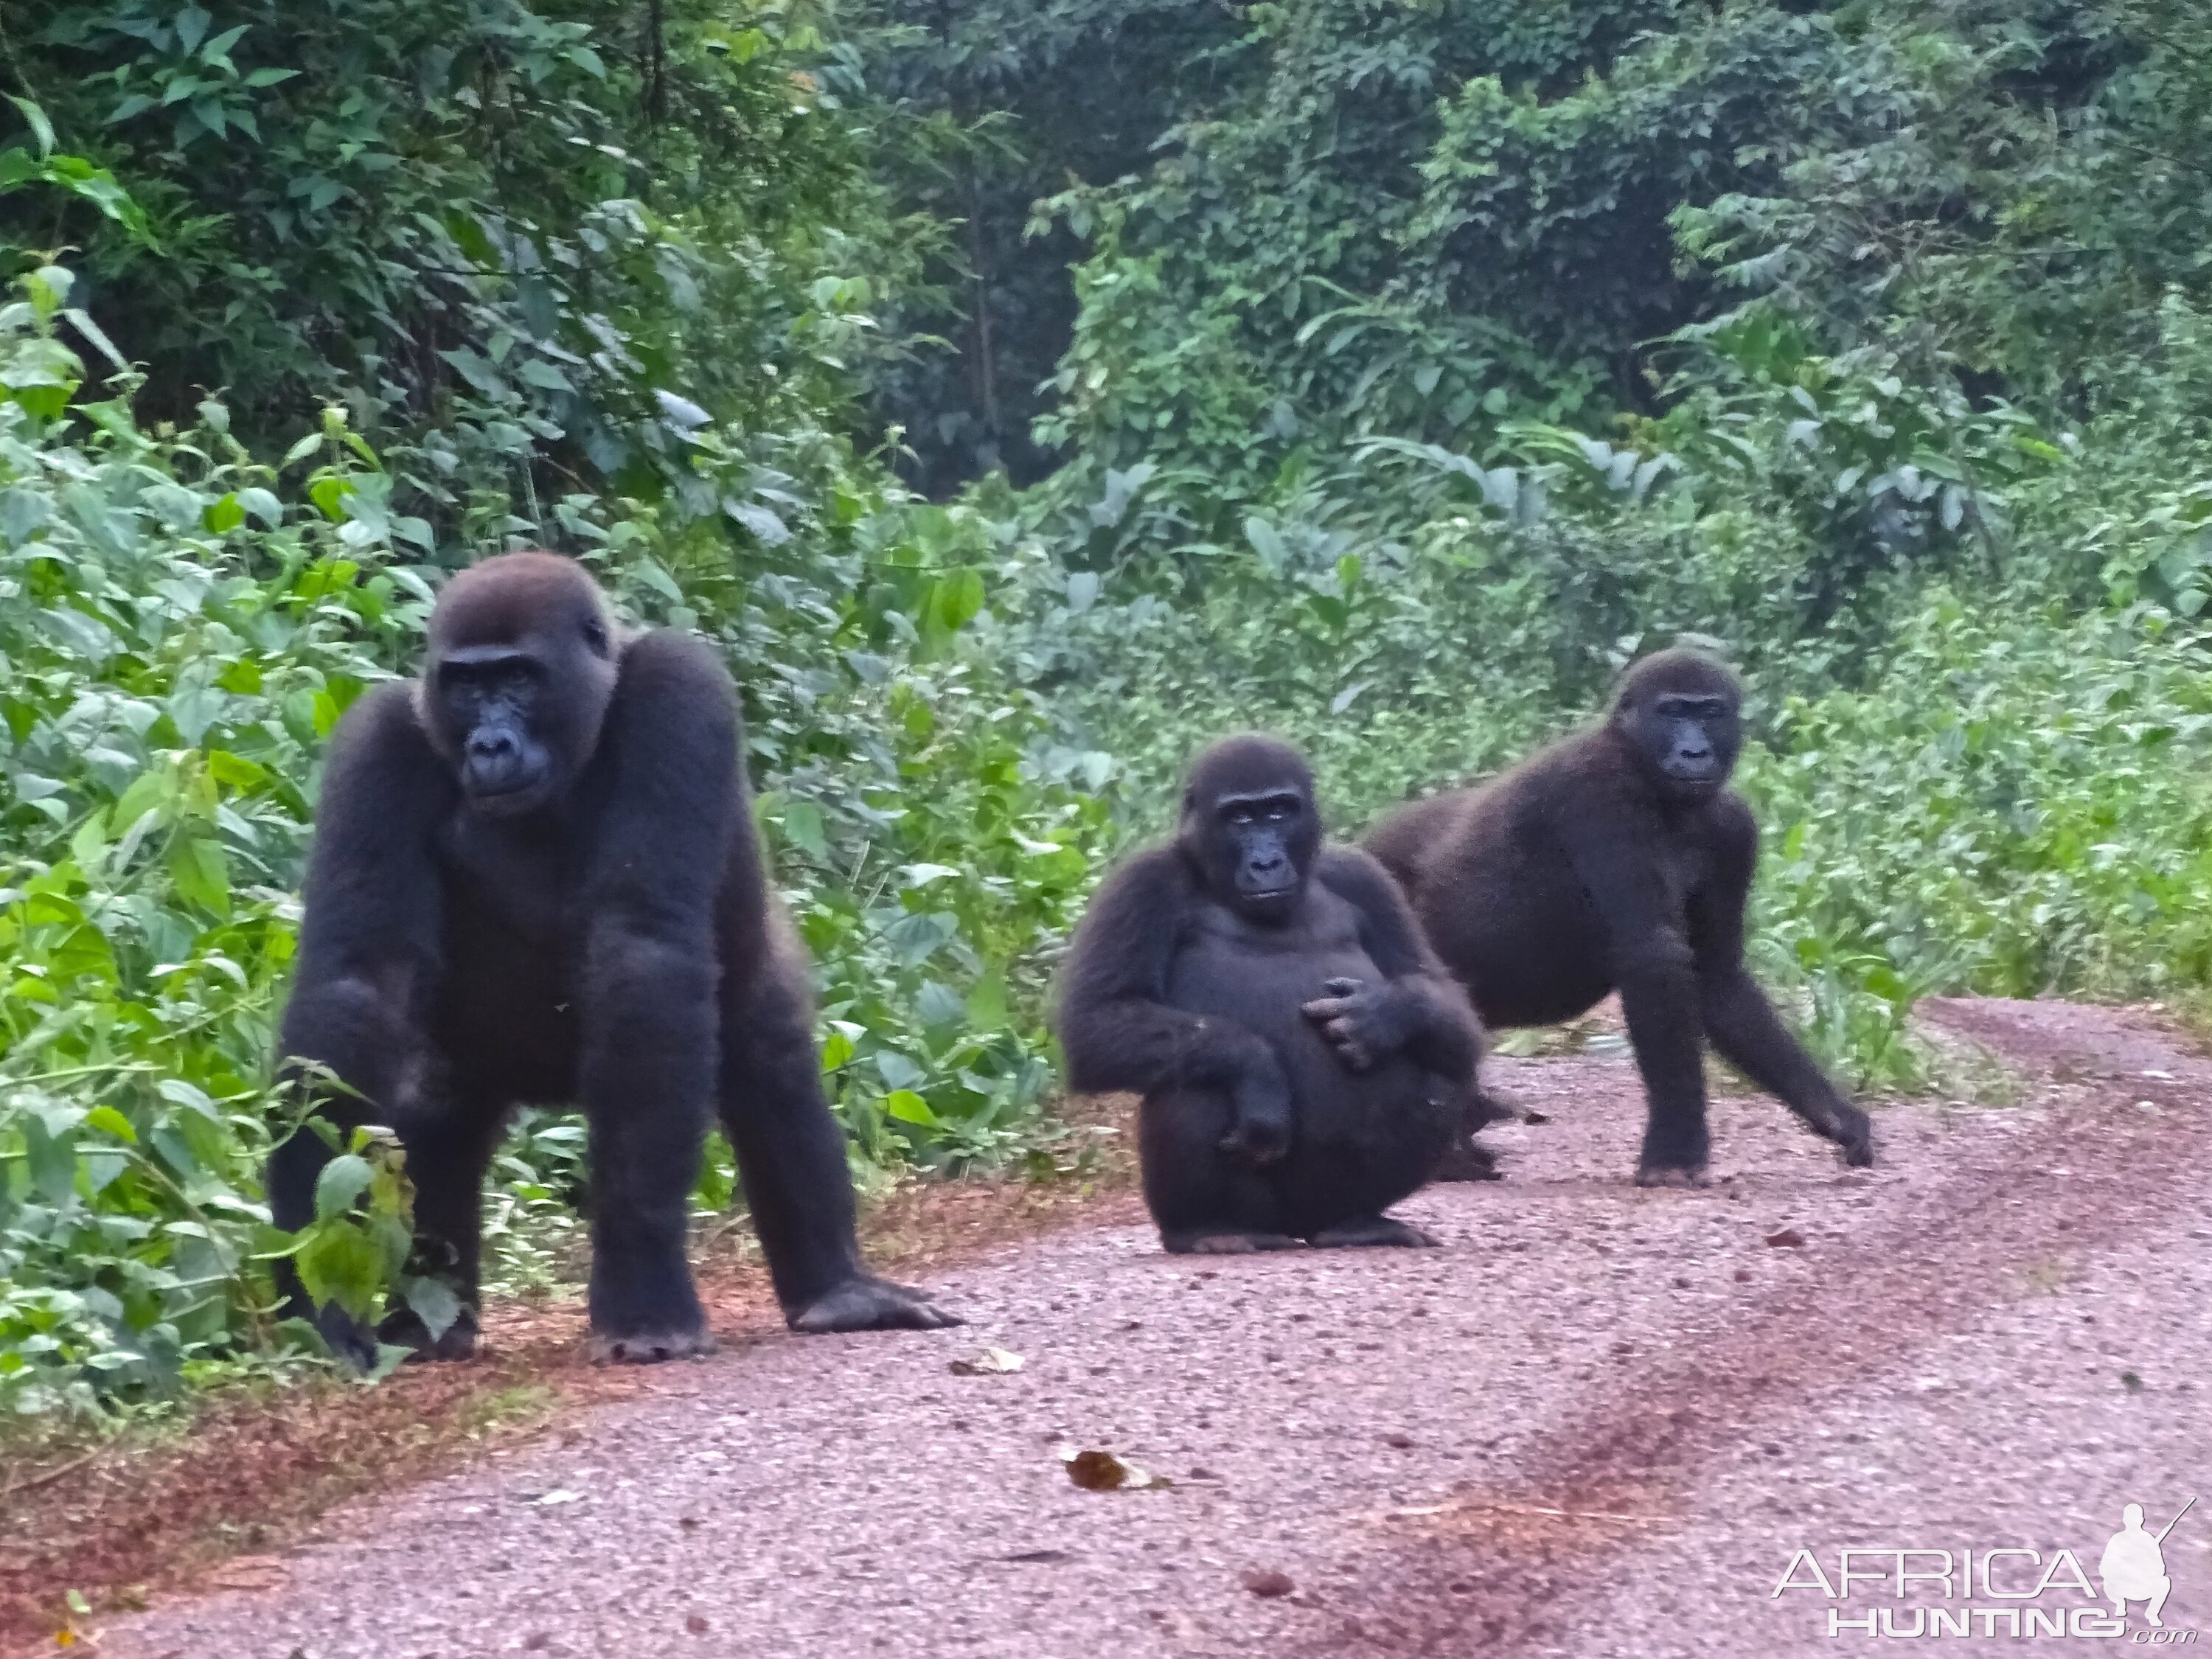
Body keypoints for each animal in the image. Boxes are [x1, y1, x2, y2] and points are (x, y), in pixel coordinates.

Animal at [270, 555, 960, 1363]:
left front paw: (642, 1294)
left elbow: (644, 956)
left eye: (520, 677)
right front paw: (310, 1271)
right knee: (434, 1111)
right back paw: (433, 1321)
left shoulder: (678, 690)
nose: (489, 745)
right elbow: (358, 981)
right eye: (466, 685)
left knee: (769, 1059)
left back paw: (837, 1290)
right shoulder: (377, 739)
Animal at [1057, 734, 1486, 1256]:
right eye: (1240, 818)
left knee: (1442, 1073)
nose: (1266, 863)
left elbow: (1445, 1002)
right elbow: (1097, 1021)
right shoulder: (1143, 880)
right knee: (1197, 1076)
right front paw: (1258, 1070)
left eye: (1280, 811)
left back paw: (1357, 1221)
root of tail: (1298, 1230)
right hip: (1262, 1212)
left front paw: (1385, 1013)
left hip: (1319, 1207)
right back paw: (1209, 1229)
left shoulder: (1364, 876)